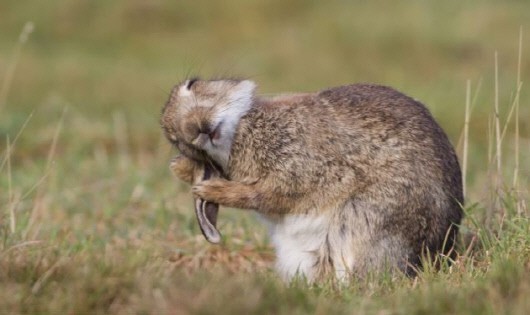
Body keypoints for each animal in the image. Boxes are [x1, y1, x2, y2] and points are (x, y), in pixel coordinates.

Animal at [159, 78, 460, 282]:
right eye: (174, 139)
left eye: (193, 84)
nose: (194, 129)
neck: (239, 133)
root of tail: (440, 248)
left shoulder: (303, 171)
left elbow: (266, 195)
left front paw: (209, 189)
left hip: (370, 220)